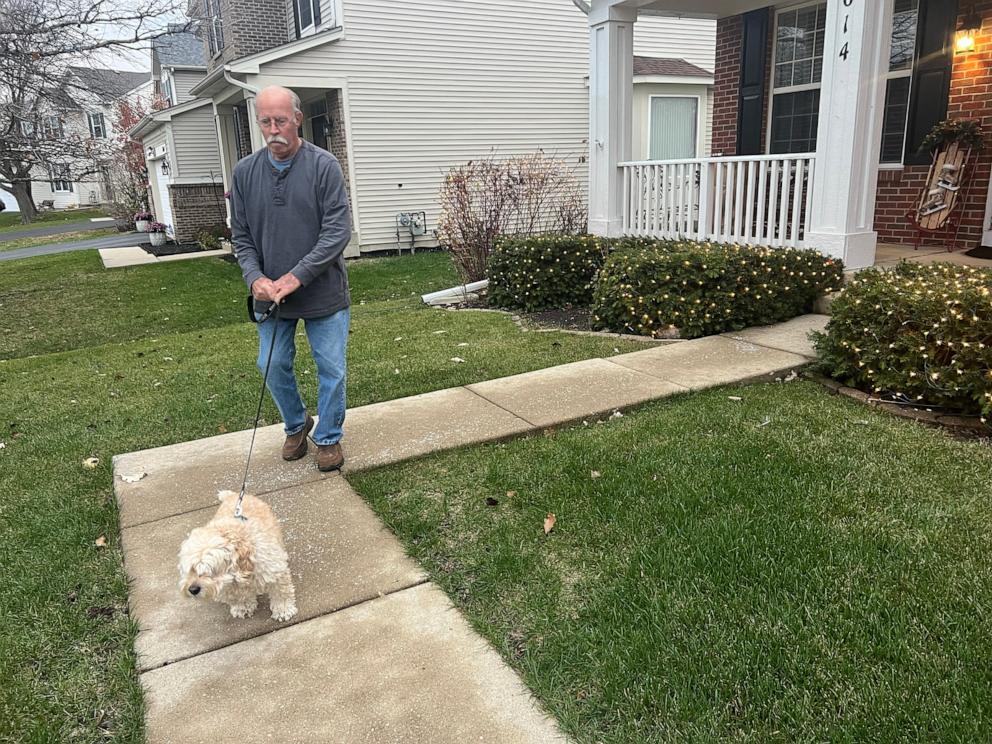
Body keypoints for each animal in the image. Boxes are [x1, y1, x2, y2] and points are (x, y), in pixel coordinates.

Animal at [177, 488, 298, 620]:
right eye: (191, 569)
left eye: (210, 569)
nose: (192, 589)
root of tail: (234, 495)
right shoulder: (228, 587)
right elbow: (237, 598)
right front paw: (243, 607)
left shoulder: (274, 571)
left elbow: (281, 592)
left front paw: (283, 609)